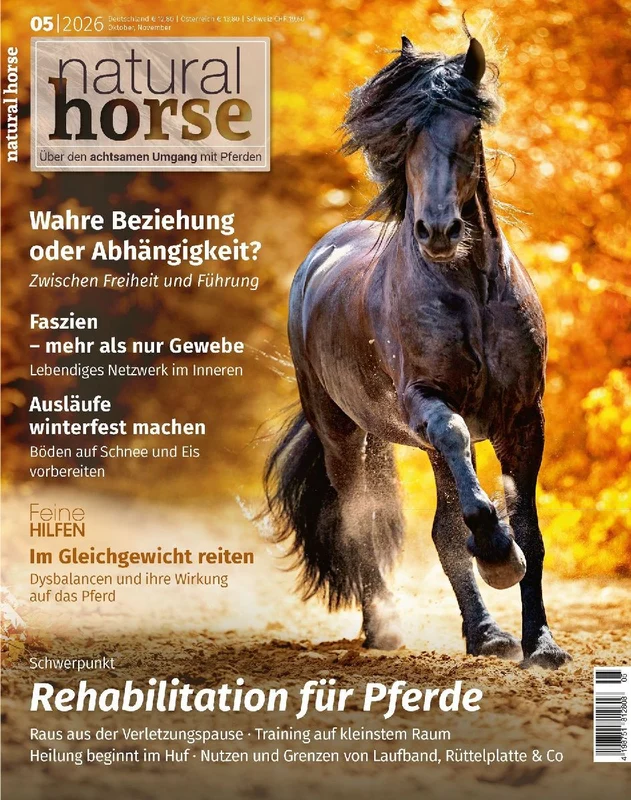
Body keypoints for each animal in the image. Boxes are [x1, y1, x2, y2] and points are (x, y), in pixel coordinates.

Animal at [263, 35, 571, 669]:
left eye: (470, 131)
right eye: (406, 134)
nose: (438, 231)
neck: (471, 292)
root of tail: (319, 258)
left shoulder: (524, 418)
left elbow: (528, 529)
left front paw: (542, 644)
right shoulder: (429, 406)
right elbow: (466, 507)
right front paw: (499, 560)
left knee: (438, 528)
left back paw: (487, 634)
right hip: (342, 434)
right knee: (359, 520)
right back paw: (386, 628)